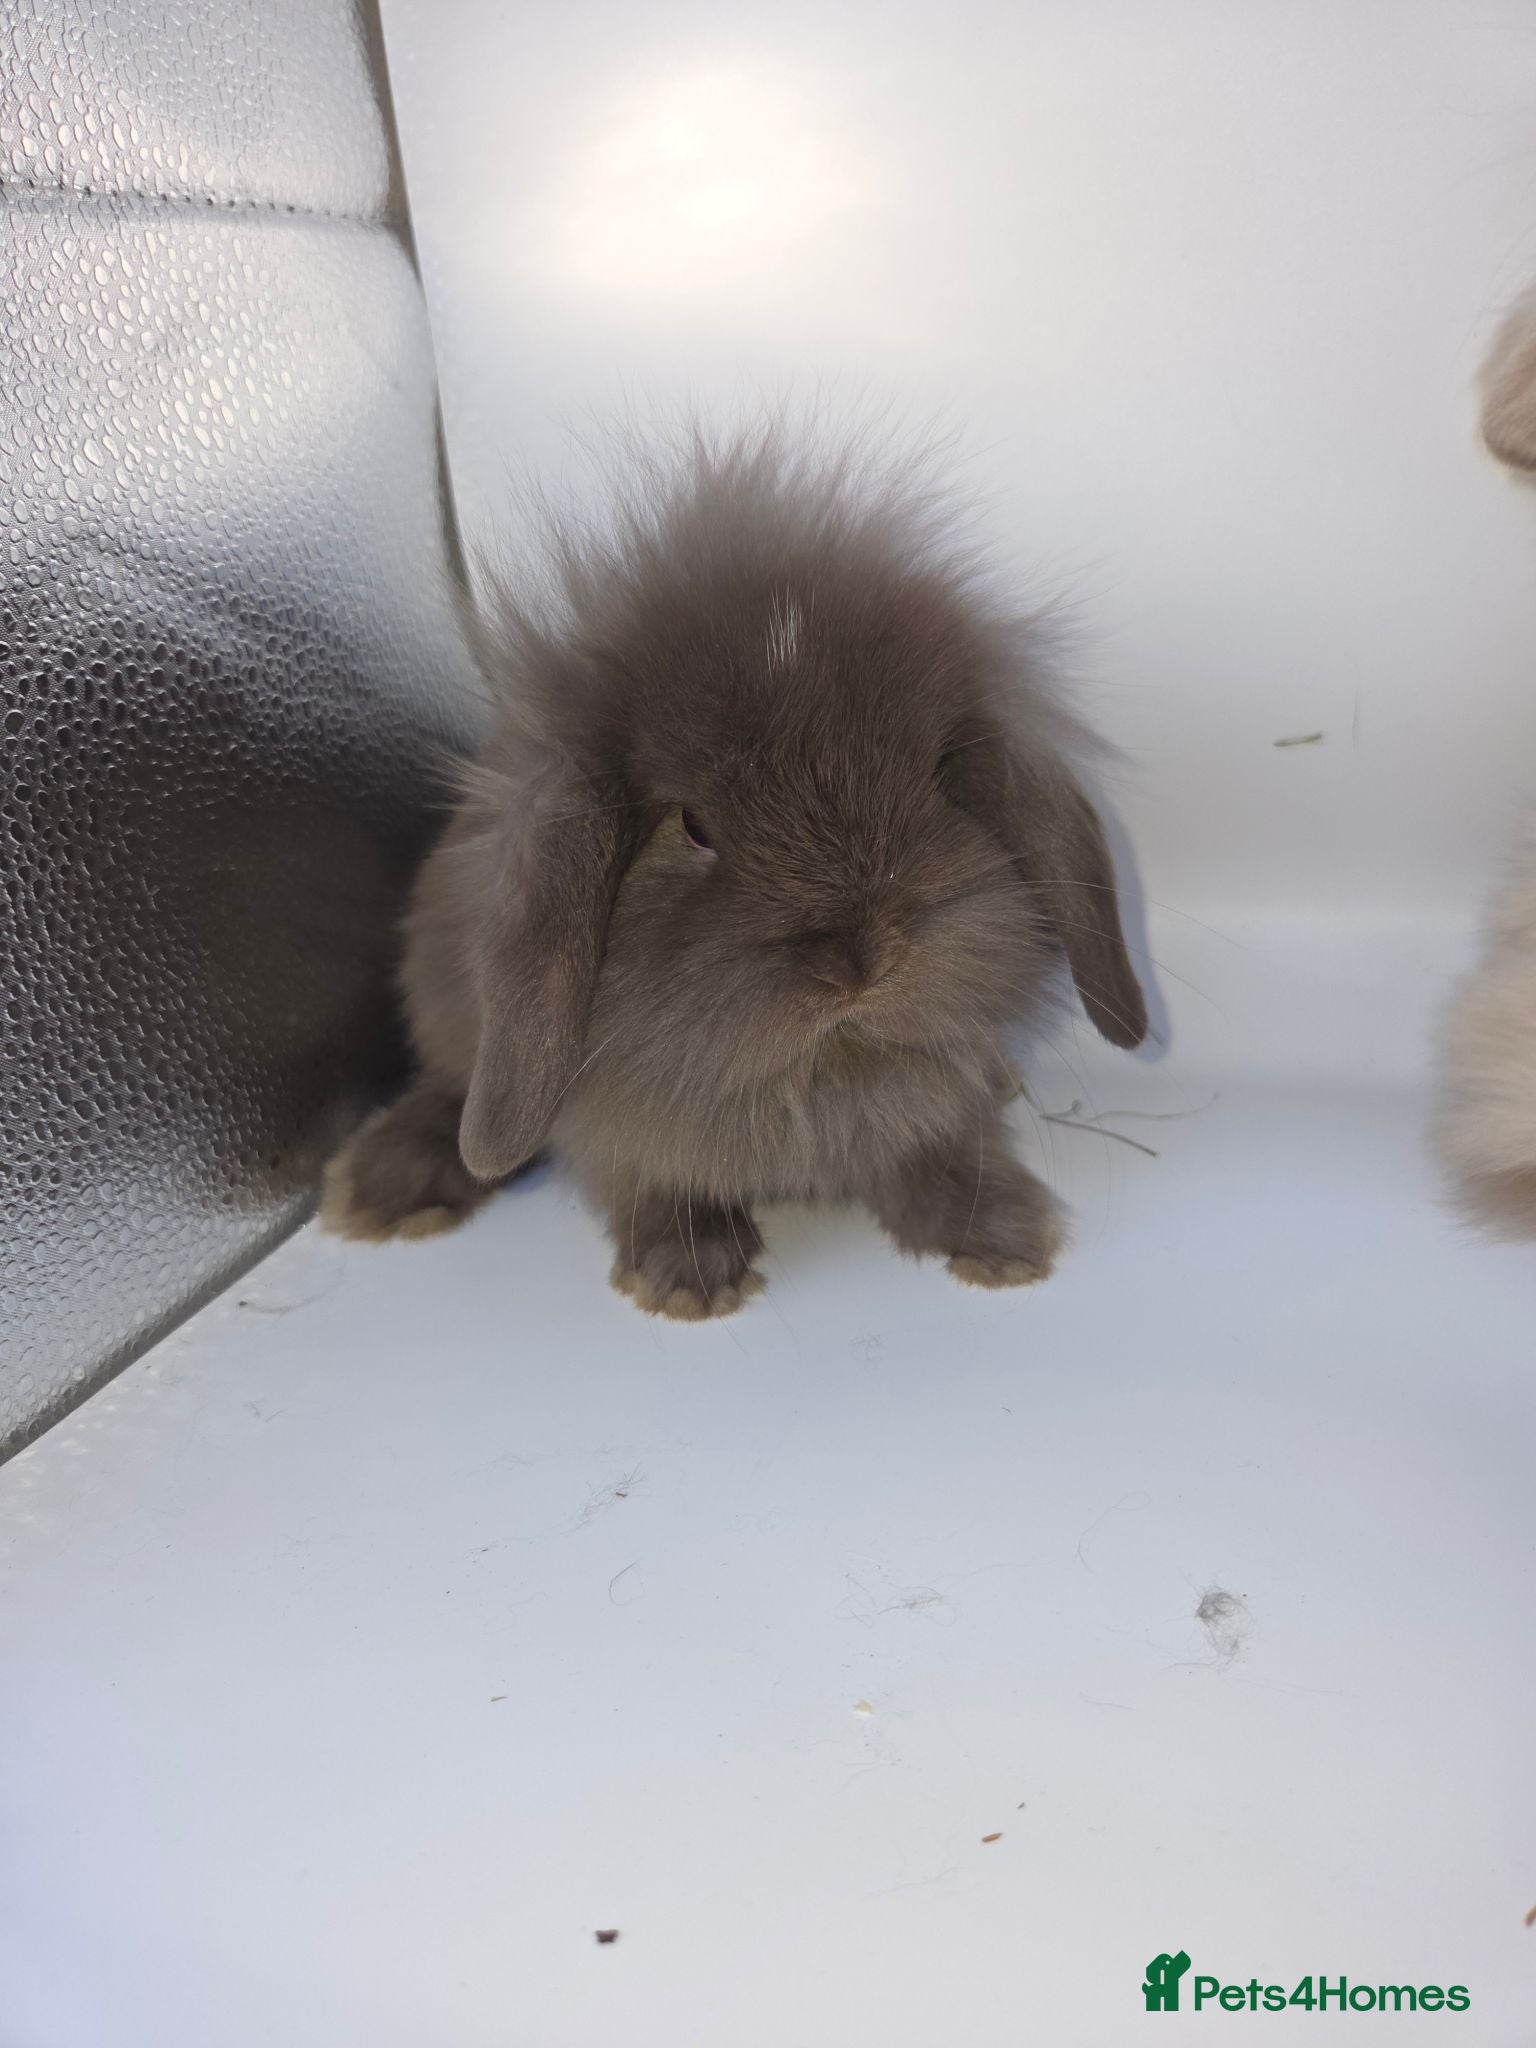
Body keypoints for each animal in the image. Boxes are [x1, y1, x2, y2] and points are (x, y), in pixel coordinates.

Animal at [321, 427, 1149, 1317]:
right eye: (692, 827)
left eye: (937, 777)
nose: (860, 962)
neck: (823, 1069)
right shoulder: (618, 1136)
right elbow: (653, 1185)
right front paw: (689, 1278)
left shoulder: (936, 1113)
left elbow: (944, 1157)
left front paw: (1002, 1241)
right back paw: (387, 1189)